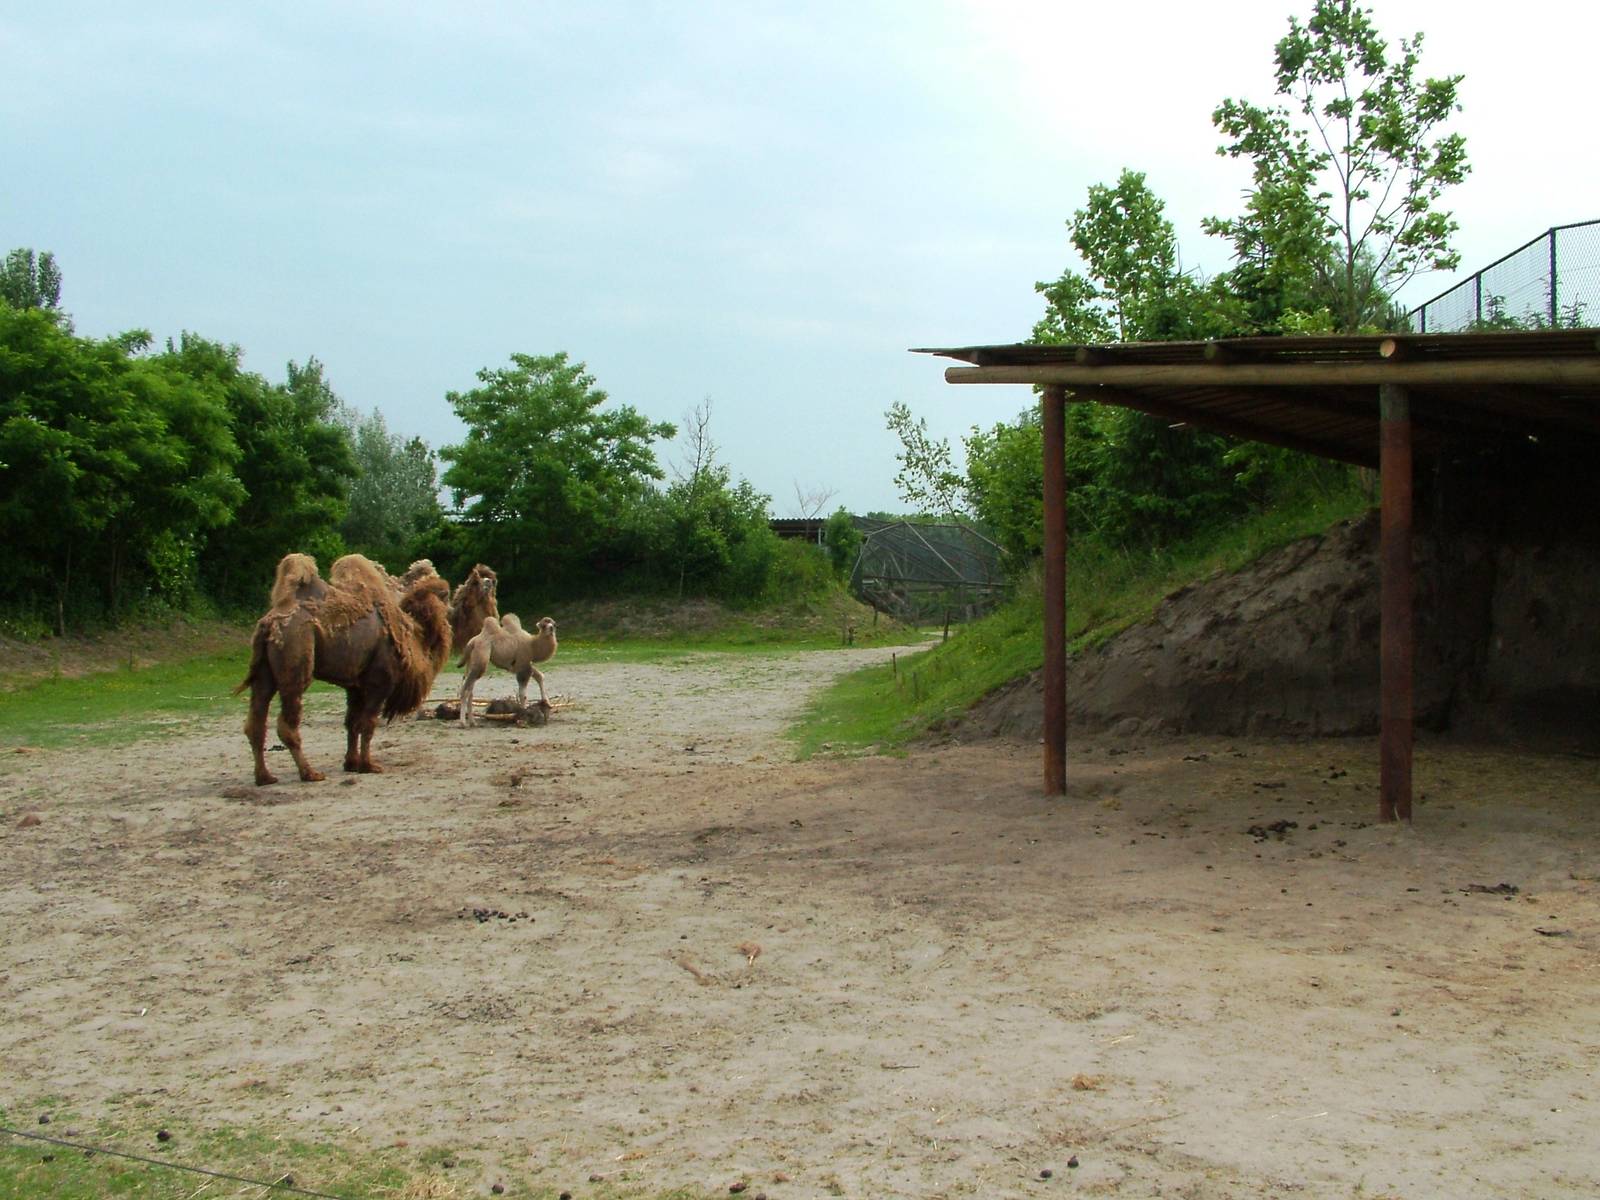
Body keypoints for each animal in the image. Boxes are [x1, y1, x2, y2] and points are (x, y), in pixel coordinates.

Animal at [239, 554, 456, 785]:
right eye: (445, 595)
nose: (453, 611)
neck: (413, 636)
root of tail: (269, 624)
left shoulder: (355, 686)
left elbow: (352, 723)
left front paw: (351, 764)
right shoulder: (380, 681)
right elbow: (368, 724)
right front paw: (368, 766)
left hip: (264, 671)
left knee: (256, 720)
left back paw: (264, 777)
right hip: (296, 655)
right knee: (287, 722)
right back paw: (310, 773)